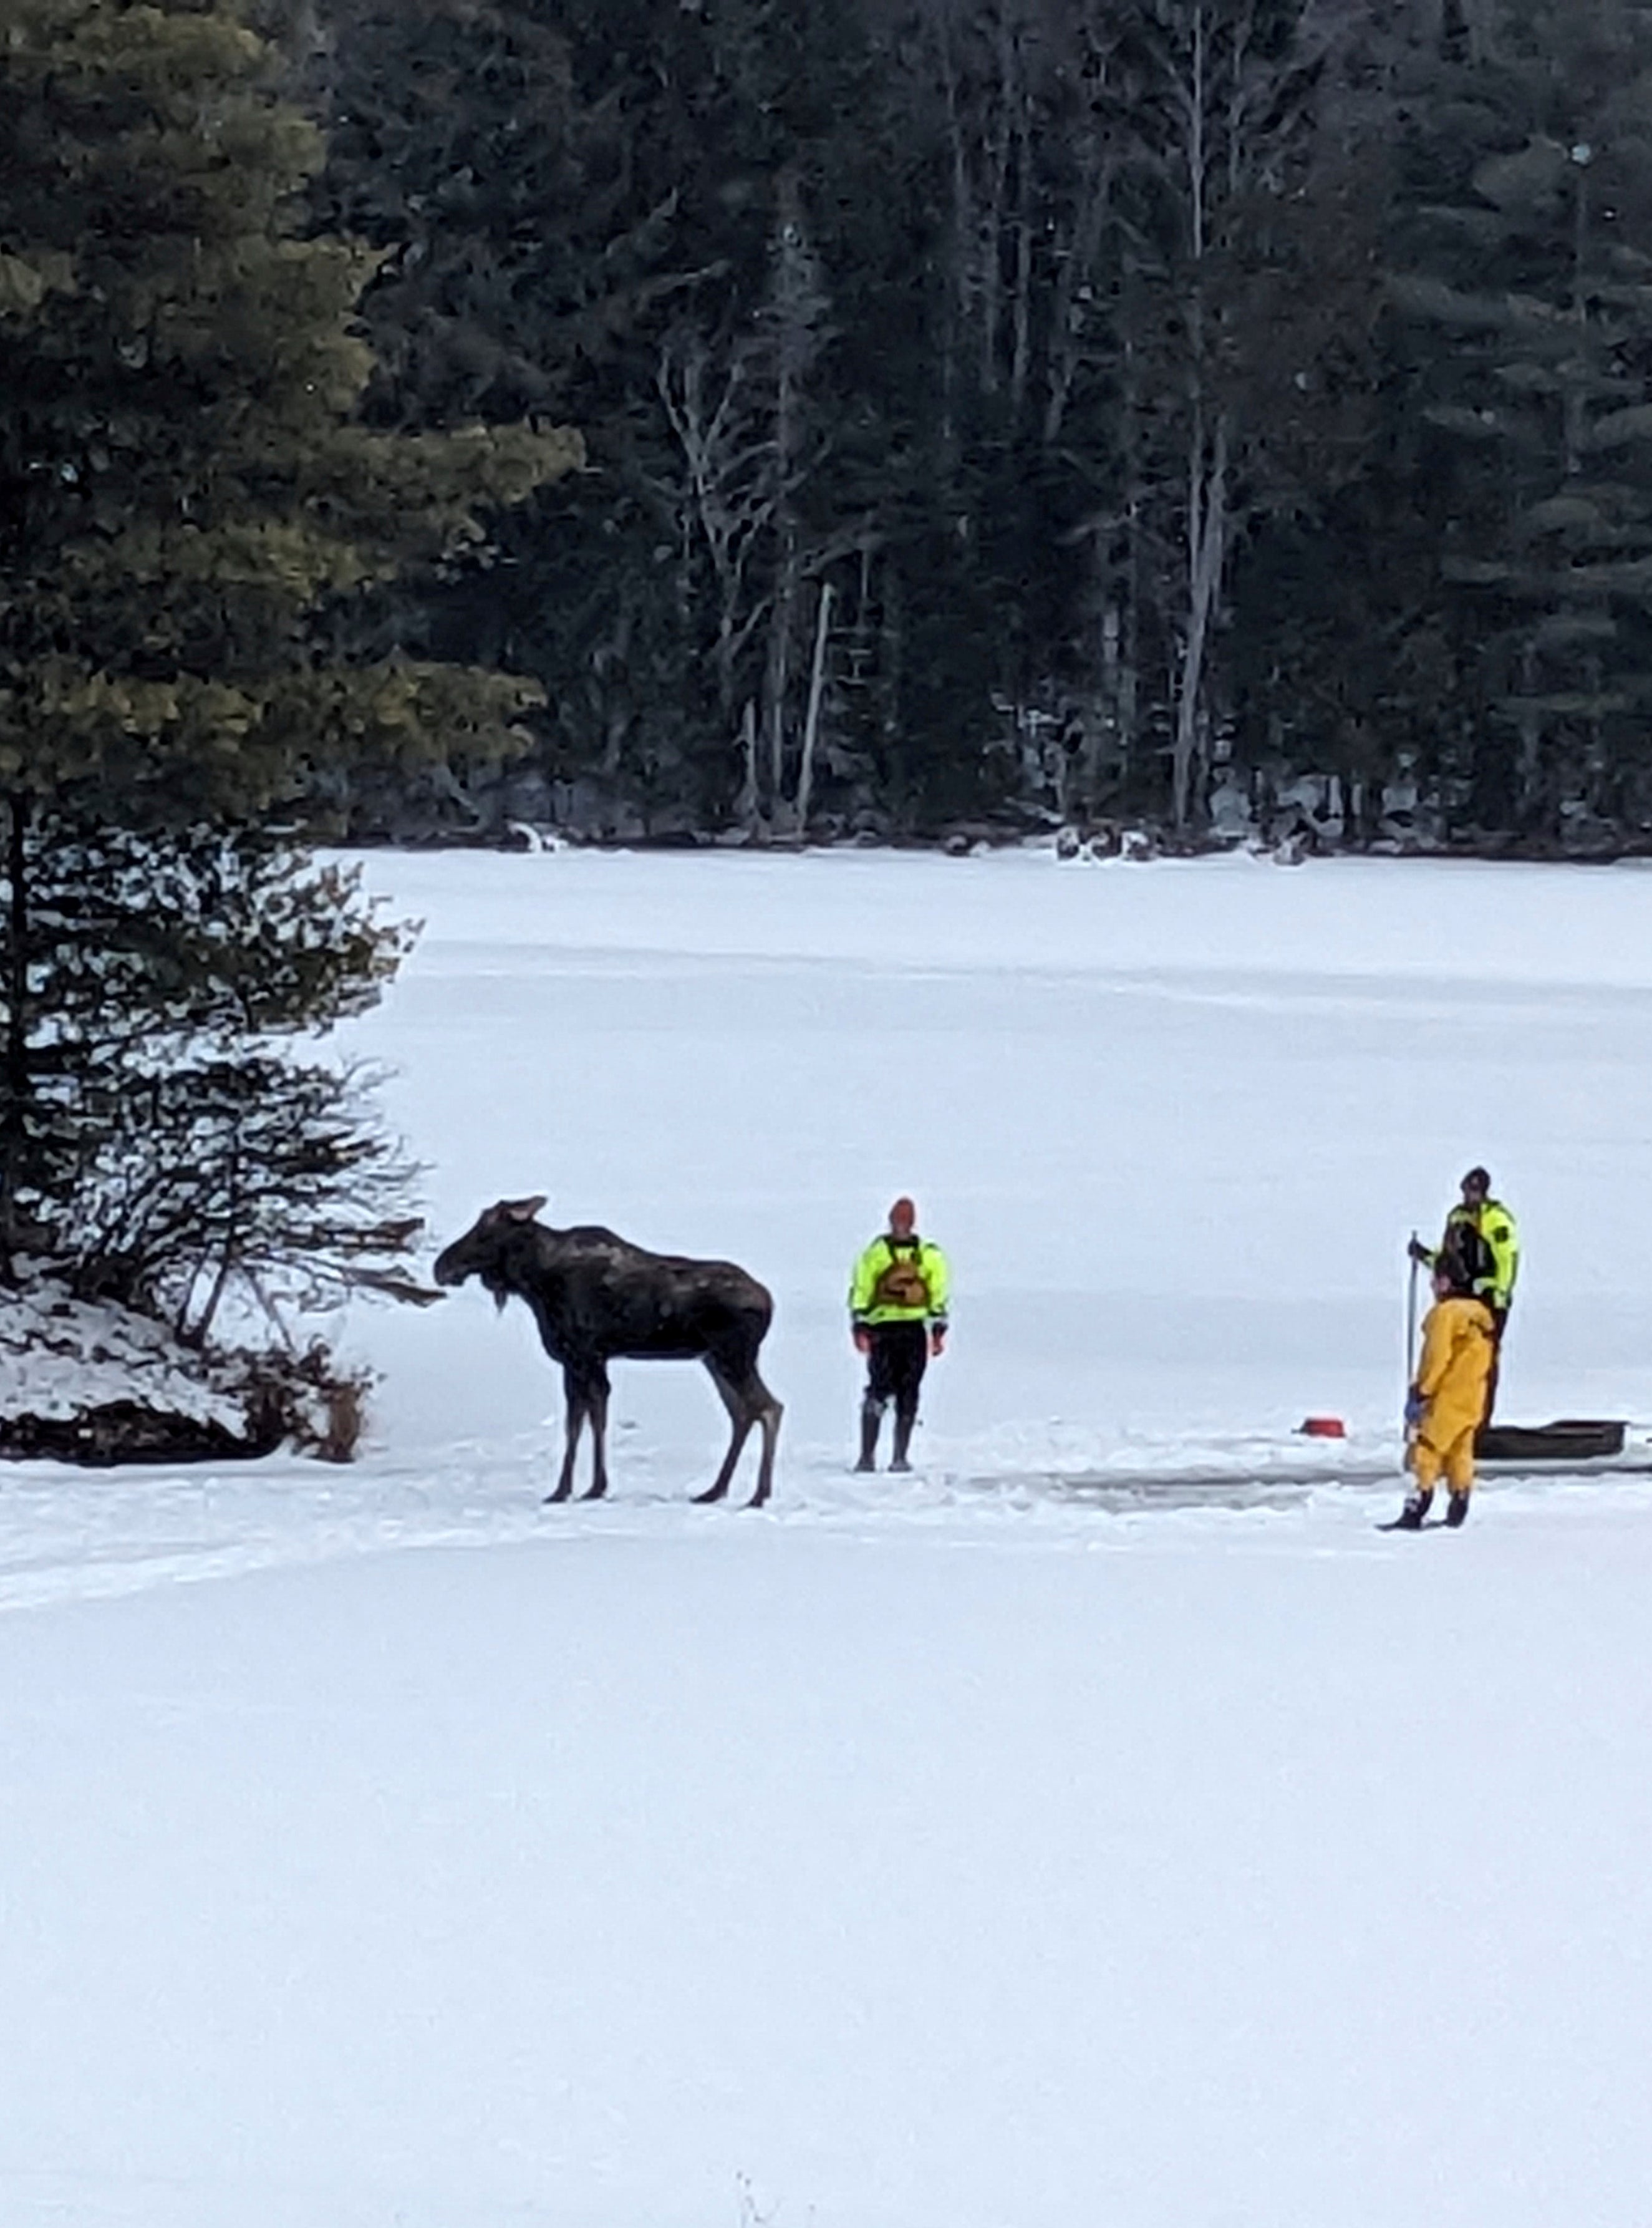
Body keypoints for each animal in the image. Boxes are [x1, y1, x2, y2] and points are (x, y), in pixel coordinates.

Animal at [434, 1203, 783, 1514]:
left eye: (485, 1232)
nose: (441, 1267)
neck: (536, 1282)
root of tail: (769, 1302)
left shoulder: (581, 1356)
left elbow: (579, 1423)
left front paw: (569, 1490)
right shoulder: (588, 1360)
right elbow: (592, 1419)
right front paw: (592, 1487)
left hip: (733, 1357)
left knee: (769, 1408)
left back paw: (757, 1495)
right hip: (713, 1359)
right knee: (743, 1413)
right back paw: (715, 1490)